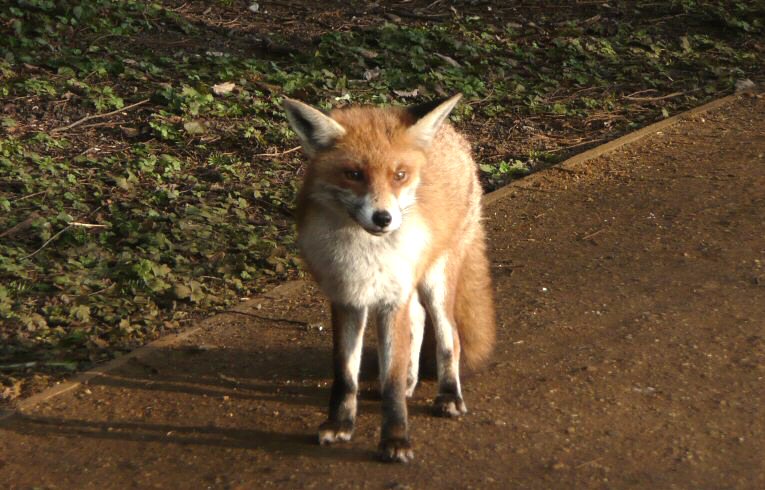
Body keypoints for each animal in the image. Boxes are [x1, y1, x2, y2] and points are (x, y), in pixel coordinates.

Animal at [282, 94, 496, 463]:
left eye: (399, 175)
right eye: (353, 174)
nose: (383, 218)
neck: (365, 253)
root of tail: (456, 136)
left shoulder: (391, 301)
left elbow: (392, 382)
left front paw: (395, 440)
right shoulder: (347, 299)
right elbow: (345, 375)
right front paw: (340, 424)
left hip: (435, 281)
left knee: (449, 336)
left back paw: (448, 395)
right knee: (418, 324)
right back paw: (411, 380)